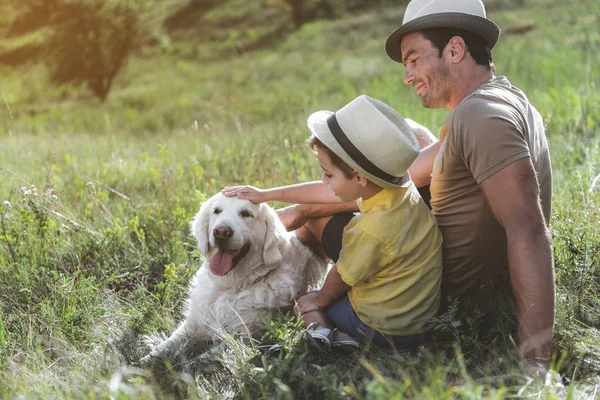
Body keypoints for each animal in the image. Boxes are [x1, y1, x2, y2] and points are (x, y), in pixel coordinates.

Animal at [142, 192, 328, 364]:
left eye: (246, 213)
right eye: (217, 211)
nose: (221, 232)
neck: (231, 286)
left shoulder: (243, 338)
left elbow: (199, 360)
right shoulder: (194, 323)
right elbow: (166, 345)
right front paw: (145, 361)